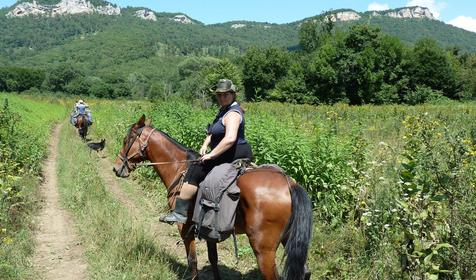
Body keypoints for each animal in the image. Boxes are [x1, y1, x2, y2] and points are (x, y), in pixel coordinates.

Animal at [111, 115, 312, 278]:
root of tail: (289, 183)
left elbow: (192, 261)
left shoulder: (185, 226)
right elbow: (213, 259)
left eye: (126, 140)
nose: (116, 168)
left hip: (264, 250)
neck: (179, 166)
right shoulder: (207, 228)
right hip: (288, 240)